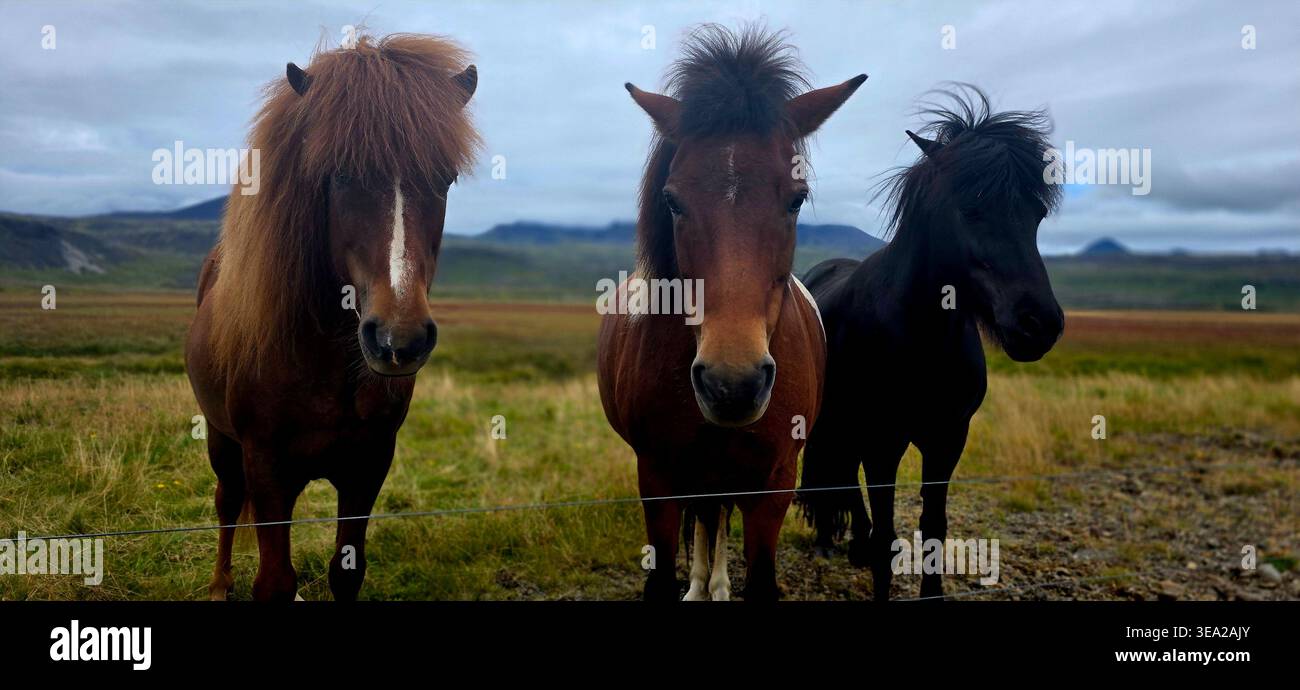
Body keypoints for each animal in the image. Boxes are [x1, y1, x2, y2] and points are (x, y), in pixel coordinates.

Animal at [185, 34, 480, 601]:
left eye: (446, 179)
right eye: (339, 175)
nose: (398, 339)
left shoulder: (368, 465)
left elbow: (346, 572)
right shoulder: (266, 464)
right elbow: (274, 580)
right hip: (221, 440)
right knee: (226, 503)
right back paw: (218, 584)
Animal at [797, 85, 1065, 600]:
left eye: (1038, 214)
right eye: (971, 207)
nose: (1039, 323)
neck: (921, 335)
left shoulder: (948, 438)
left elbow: (935, 526)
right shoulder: (884, 440)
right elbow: (885, 530)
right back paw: (829, 541)